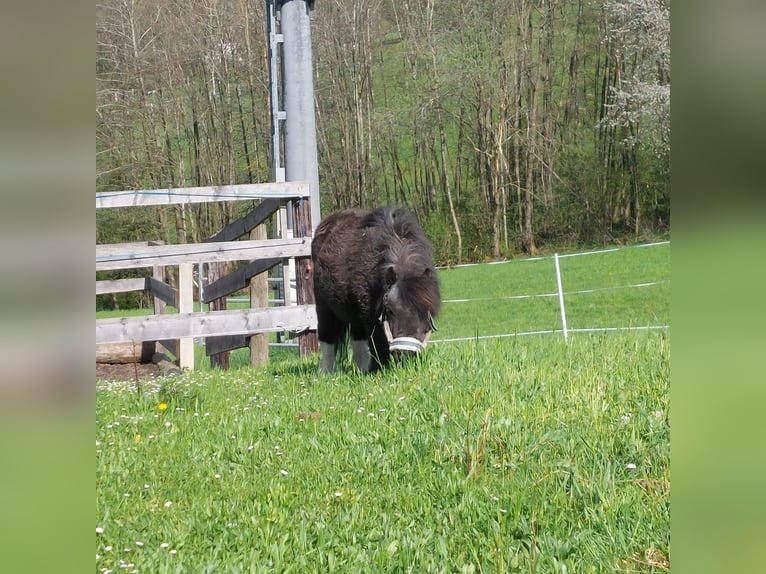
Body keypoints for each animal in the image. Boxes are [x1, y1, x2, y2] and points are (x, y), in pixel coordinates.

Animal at [312, 207, 444, 374]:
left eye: (425, 311)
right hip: (324, 308)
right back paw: (328, 371)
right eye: (390, 310)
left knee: (357, 340)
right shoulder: (371, 319)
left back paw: (359, 369)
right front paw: (381, 370)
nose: (406, 355)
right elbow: (378, 344)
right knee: (327, 337)